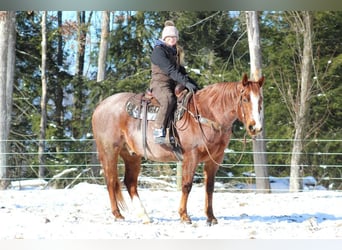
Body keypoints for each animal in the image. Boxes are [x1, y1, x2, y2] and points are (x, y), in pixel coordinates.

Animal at [91, 73, 264, 226]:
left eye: (260, 100)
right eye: (245, 98)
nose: (255, 127)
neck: (206, 114)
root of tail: (101, 106)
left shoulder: (214, 159)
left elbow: (209, 187)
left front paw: (211, 217)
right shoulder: (191, 156)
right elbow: (186, 185)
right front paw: (184, 216)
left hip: (131, 155)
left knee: (130, 182)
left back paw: (144, 216)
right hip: (109, 151)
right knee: (110, 180)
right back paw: (118, 214)